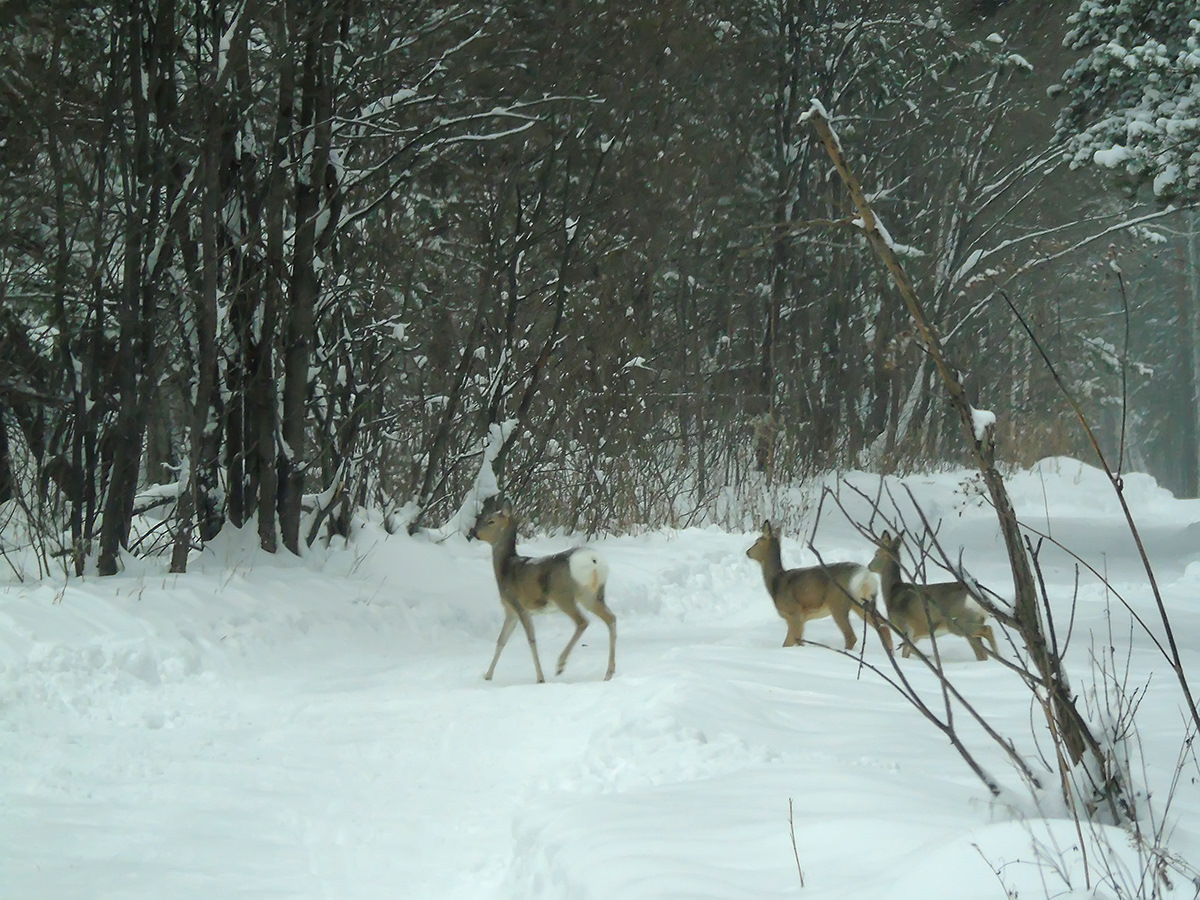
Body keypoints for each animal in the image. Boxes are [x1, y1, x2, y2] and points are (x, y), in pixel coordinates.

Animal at [470, 504, 619, 686]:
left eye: (491, 521)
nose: (475, 533)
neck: (505, 568)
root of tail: (594, 561)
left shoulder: (519, 605)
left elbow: (531, 640)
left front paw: (540, 678)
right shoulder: (510, 611)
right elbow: (501, 640)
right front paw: (487, 675)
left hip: (564, 595)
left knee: (582, 622)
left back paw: (561, 665)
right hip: (592, 595)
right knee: (610, 618)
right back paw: (609, 672)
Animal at [748, 520, 892, 657]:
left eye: (757, 542)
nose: (747, 552)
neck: (776, 582)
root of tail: (865, 576)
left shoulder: (794, 613)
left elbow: (791, 642)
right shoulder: (800, 619)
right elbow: (795, 642)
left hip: (838, 603)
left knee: (851, 636)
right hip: (864, 604)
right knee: (884, 627)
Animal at [868, 528, 998, 662]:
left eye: (876, 554)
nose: (869, 566)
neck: (892, 592)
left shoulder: (906, 628)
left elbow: (906, 653)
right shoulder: (917, 634)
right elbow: (911, 651)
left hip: (957, 622)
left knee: (987, 629)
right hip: (973, 621)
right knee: (982, 653)